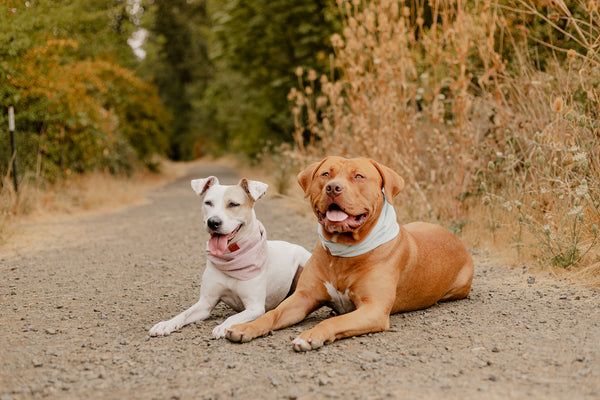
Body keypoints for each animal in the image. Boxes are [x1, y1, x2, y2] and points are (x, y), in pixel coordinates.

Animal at [148, 177, 312, 340]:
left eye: (233, 204)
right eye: (208, 203)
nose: (213, 222)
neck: (232, 257)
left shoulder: (255, 307)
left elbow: (233, 317)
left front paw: (223, 327)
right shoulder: (205, 303)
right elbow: (184, 314)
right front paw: (166, 324)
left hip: (304, 262)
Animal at [225, 156, 474, 350]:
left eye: (359, 176)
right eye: (325, 174)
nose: (333, 187)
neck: (344, 250)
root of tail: (455, 238)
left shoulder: (373, 309)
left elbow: (334, 323)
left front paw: (311, 335)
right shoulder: (303, 297)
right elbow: (272, 314)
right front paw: (246, 326)